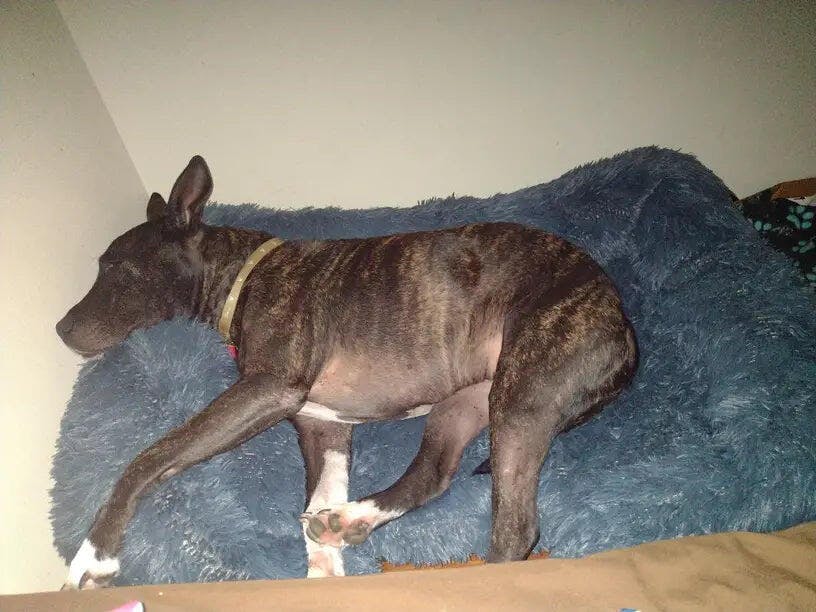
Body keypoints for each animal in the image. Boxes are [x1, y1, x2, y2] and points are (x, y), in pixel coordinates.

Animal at [56, 156, 637, 588]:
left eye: (115, 267)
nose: (61, 329)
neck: (243, 274)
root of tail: (624, 326)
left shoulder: (268, 387)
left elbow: (149, 457)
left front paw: (94, 555)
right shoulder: (323, 427)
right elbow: (314, 507)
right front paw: (324, 568)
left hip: (522, 396)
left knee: (516, 529)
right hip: (462, 405)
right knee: (431, 475)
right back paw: (350, 519)